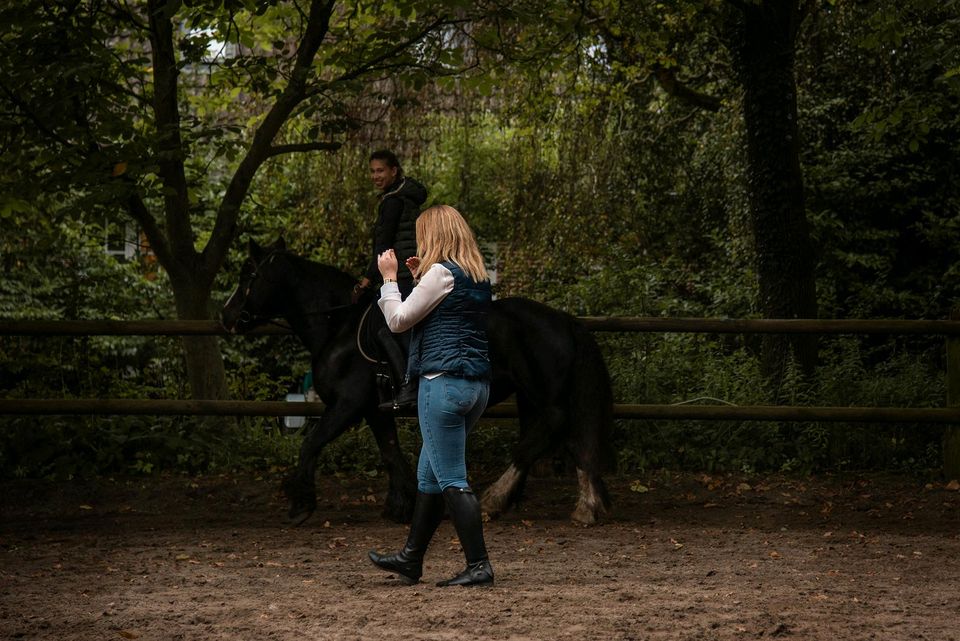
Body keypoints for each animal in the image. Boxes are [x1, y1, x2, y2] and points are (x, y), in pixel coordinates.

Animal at [223, 239, 616, 524]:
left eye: (248, 274)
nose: (226, 316)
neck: (339, 328)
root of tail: (563, 319)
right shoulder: (375, 409)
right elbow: (390, 452)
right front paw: (403, 505)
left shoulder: (346, 405)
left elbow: (311, 443)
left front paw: (300, 503)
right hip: (529, 396)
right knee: (554, 436)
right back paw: (570, 503)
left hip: (543, 393)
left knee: (555, 431)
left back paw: (505, 499)